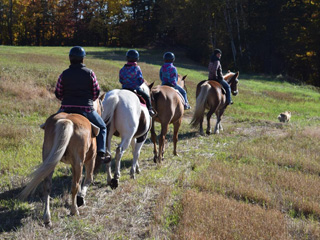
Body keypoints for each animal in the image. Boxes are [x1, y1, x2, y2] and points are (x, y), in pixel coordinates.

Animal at [19, 97, 104, 227]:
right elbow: (88, 179)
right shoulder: (91, 159)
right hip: (78, 163)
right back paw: (74, 210)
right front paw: (81, 198)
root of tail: (66, 121)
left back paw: (47, 218)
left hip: (50, 161)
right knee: (74, 185)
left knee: (47, 186)